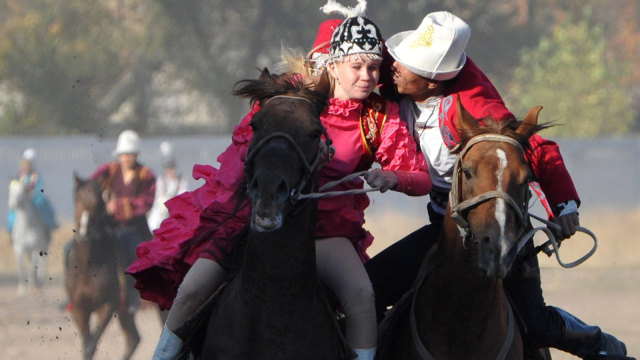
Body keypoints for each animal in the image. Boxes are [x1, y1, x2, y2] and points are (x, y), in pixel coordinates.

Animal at [63, 174, 140, 358]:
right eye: (77, 199)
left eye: (98, 203)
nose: (84, 233)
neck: (88, 268)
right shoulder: (79, 308)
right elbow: (87, 346)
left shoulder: (107, 306)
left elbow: (91, 345)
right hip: (124, 312)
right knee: (133, 339)